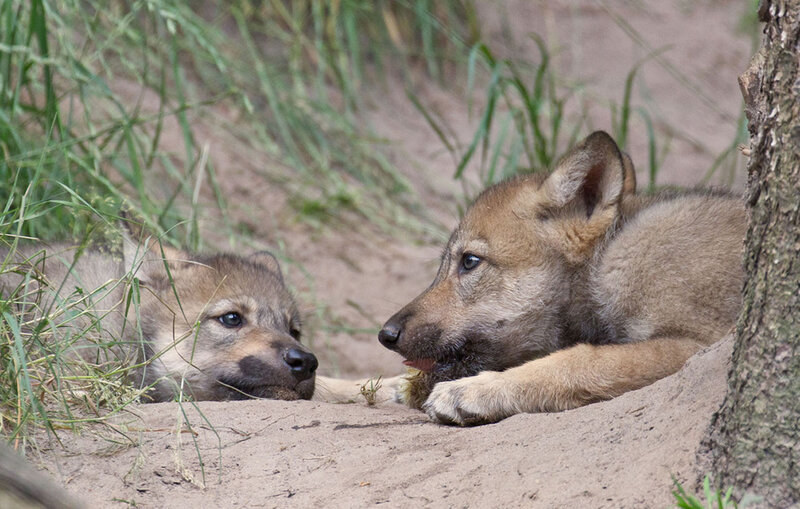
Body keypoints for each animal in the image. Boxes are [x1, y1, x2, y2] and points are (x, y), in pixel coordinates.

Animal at [378, 131, 745, 425]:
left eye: (469, 261)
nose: (385, 335)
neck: (607, 259)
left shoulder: (697, 345)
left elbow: (577, 361)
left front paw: (474, 391)